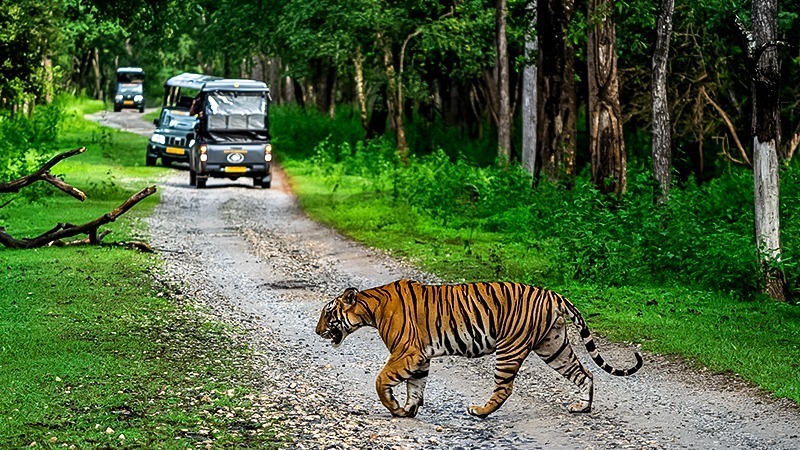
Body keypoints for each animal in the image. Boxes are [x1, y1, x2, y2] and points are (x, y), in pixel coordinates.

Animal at [316, 278, 640, 418]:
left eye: (328, 314)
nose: (317, 331)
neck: (370, 309)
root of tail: (552, 294)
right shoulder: (420, 357)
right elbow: (415, 386)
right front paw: (408, 410)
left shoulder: (407, 352)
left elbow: (381, 380)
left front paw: (395, 408)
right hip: (554, 346)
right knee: (585, 374)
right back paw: (582, 407)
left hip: (511, 347)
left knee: (504, 388)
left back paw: (480, 411)